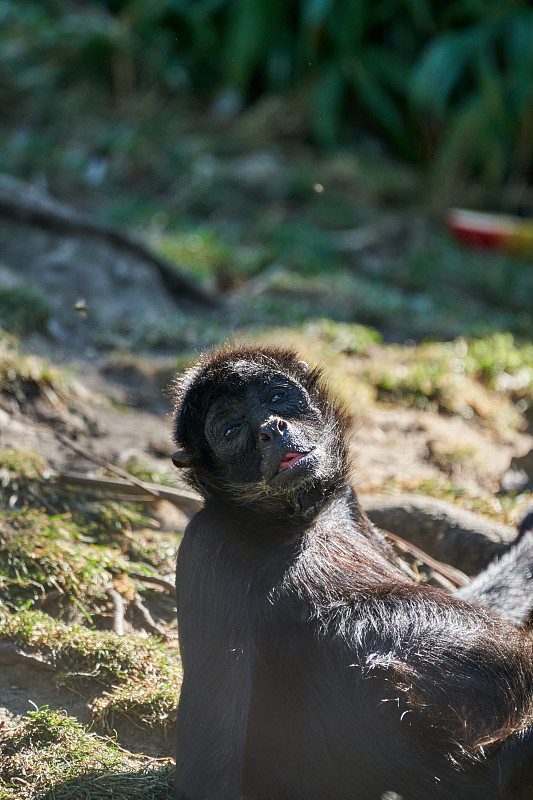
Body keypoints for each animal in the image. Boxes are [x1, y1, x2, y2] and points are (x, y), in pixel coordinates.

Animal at [170, 346, 532, 800]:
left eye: (276, 398)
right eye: (232, 429)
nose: (272, 428)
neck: (299, 523)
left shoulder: (349, 505)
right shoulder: (207, 543)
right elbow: (205, 774)